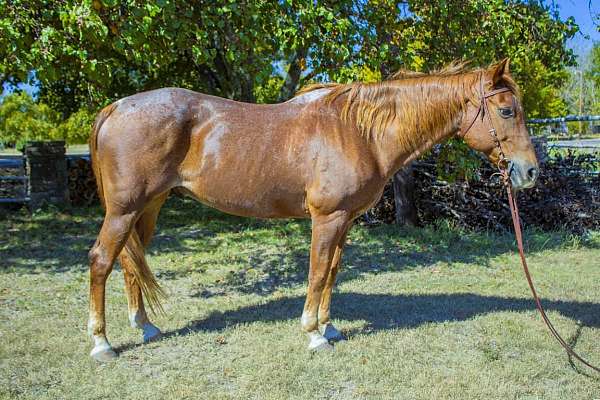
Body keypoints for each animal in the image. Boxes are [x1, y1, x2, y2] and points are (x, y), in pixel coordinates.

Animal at [85, 59, 540, 362]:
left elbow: (333, 271)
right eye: (506, 110)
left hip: (147, 208)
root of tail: (116, 107)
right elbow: (318, 271)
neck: (359, 131)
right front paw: (313, 334)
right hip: (124, 210)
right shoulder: (327, 218)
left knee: (129, 261)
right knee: (102, 261)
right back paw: (102, 344)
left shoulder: (345, 221)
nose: (530, 172)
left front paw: (330, 327)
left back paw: (145, 327)